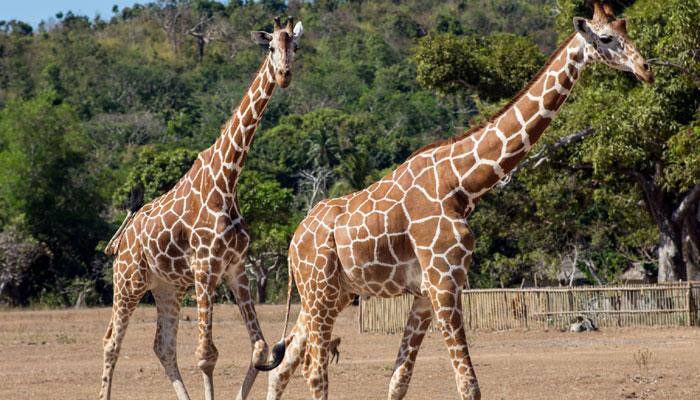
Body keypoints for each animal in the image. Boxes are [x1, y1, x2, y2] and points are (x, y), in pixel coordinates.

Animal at [98, 16, 304, 400]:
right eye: (271, 47)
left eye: (295, 46)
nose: (284, 75)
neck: (227, 179)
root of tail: (121, 239)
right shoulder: (205, 268)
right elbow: (206, 355)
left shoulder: (234, 268)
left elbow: (260, 348)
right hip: (128, 281)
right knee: (111, 343)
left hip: (167, 287)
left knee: (163, 346)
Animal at [267, 3, 653, 400]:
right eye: (605, 38)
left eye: (625, 28)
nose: (645, 69)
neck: (461, 184)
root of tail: (293, 243)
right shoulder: (445, 281)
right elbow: (468, 384)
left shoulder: (426, 291)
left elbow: (399, 380)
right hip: (320, 292)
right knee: (314, 371)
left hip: (330, 294)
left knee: (282, 367)